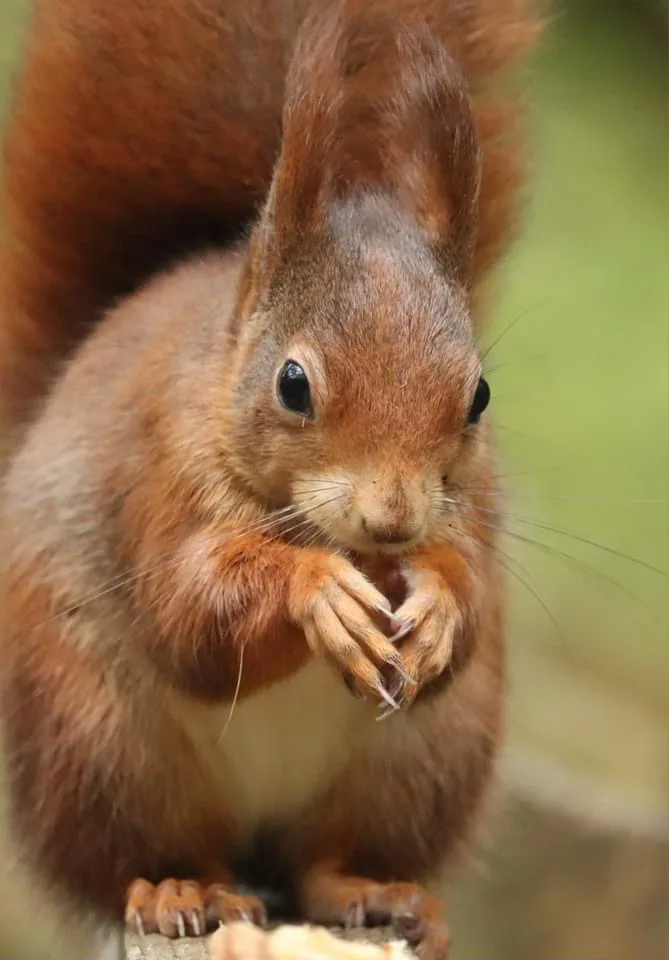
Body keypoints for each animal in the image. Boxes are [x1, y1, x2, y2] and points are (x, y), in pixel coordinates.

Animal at [0, 1, 542, 959]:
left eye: (477, 395)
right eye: (293, 384)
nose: (393, 518)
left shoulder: (471, 511)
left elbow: (468, 600)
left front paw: (439, 606)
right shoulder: (158, 464)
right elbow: (190, 614)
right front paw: (316, 592)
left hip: (422, 764)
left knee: (321, 861)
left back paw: (372, 891)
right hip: (94, 740)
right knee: (132, 856)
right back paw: (179, 888)